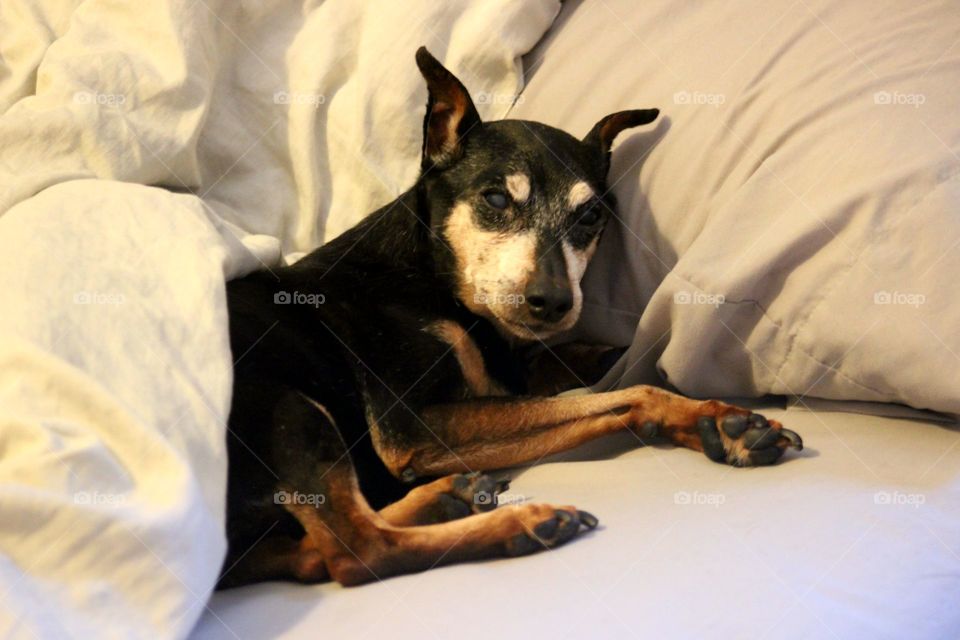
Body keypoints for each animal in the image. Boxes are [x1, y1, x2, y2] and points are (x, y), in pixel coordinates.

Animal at [218, 48, 804, 592]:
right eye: (496, 198)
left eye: (591, 216)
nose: (553, 301)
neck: (432, 274)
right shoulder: (411, 426)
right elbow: (622, 396)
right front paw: (713, 417)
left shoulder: (509, 368)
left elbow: (580, 365)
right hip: (290, 408)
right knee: (357, 552)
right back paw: (519, 524)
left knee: (311, 555)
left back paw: (447, 496)